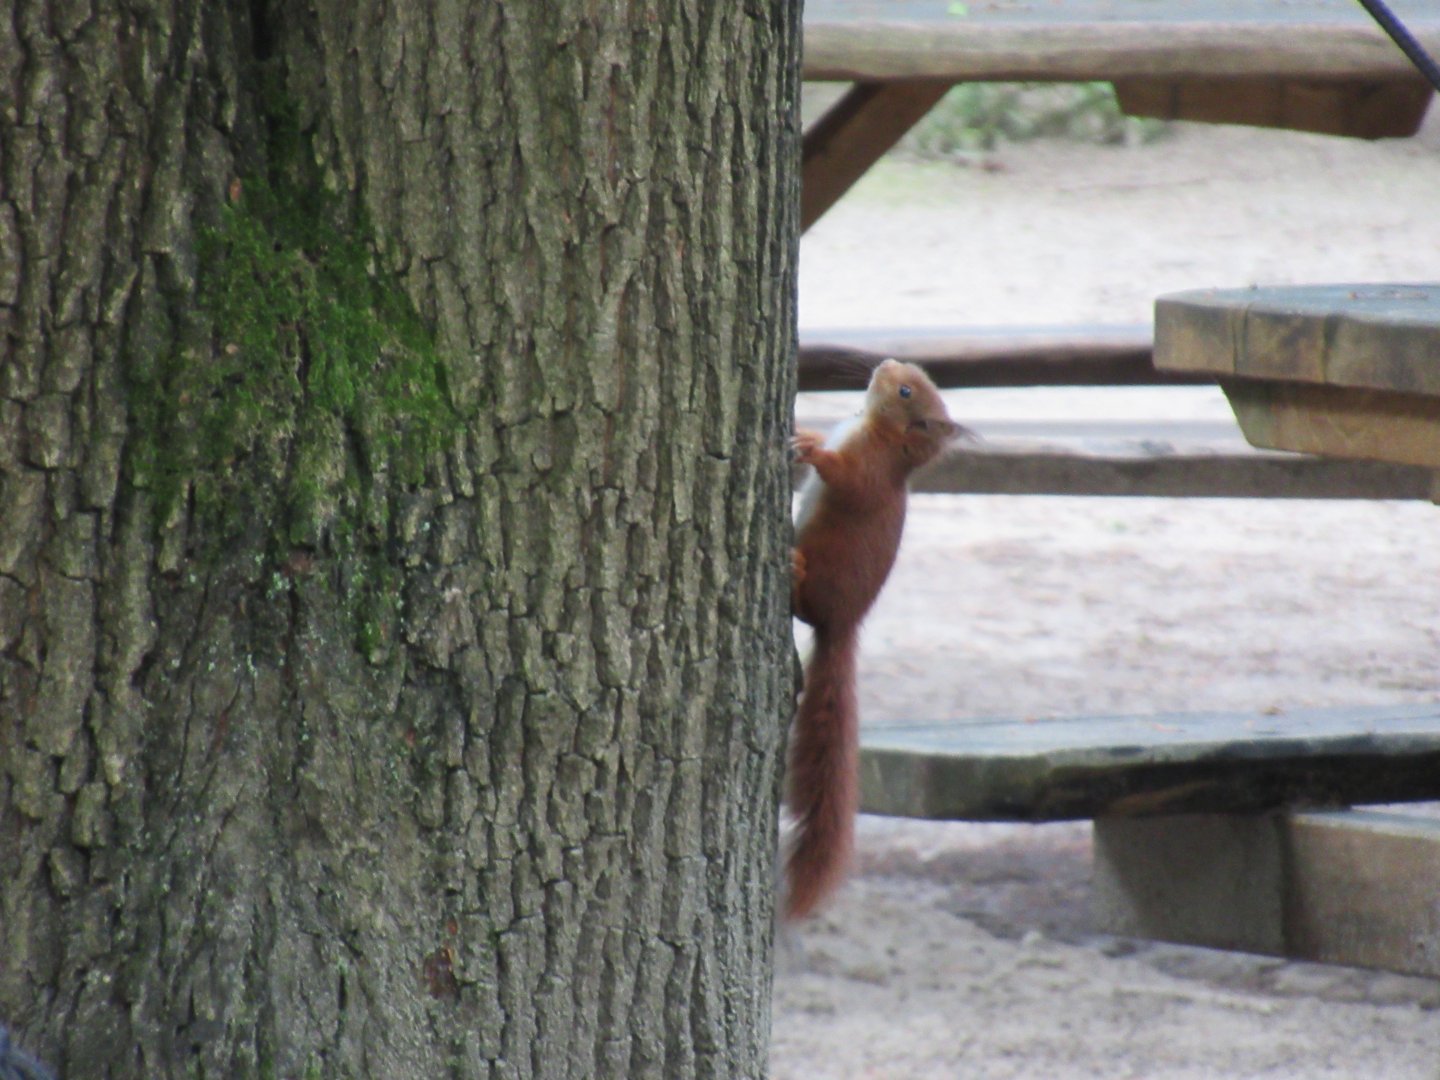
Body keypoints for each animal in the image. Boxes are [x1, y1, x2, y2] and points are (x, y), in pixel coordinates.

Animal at [785, 358, 964, 920]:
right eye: (913, 377)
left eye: (905, 391)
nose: (884, 363)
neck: (873, 429)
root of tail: (841, 625)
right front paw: (807, 433)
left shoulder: (868, 474)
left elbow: (847, 479)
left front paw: (815, 451)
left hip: (825, 580)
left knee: (802, 605)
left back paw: (794, 570)